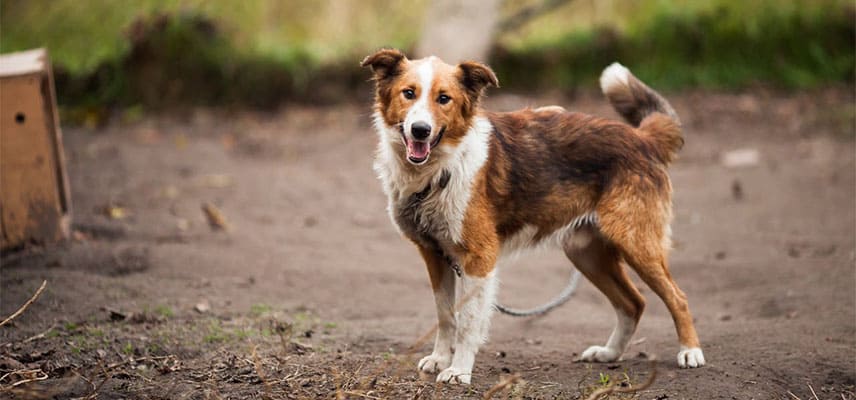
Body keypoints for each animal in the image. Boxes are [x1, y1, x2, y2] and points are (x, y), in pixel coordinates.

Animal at [362, 50, 704, 384]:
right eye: (409, 93)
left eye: (443, 98)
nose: (420, 130)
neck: (440, 169)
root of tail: (642, 138)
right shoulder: (434, 254)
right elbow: (446, 314)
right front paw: (440, 359)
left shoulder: (478, 259)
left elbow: (469, 322)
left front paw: (459, 370)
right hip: (586, 253)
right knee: (633, 302)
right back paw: (609, 353)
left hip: (636, 243)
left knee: (677, 297)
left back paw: (690, 352)